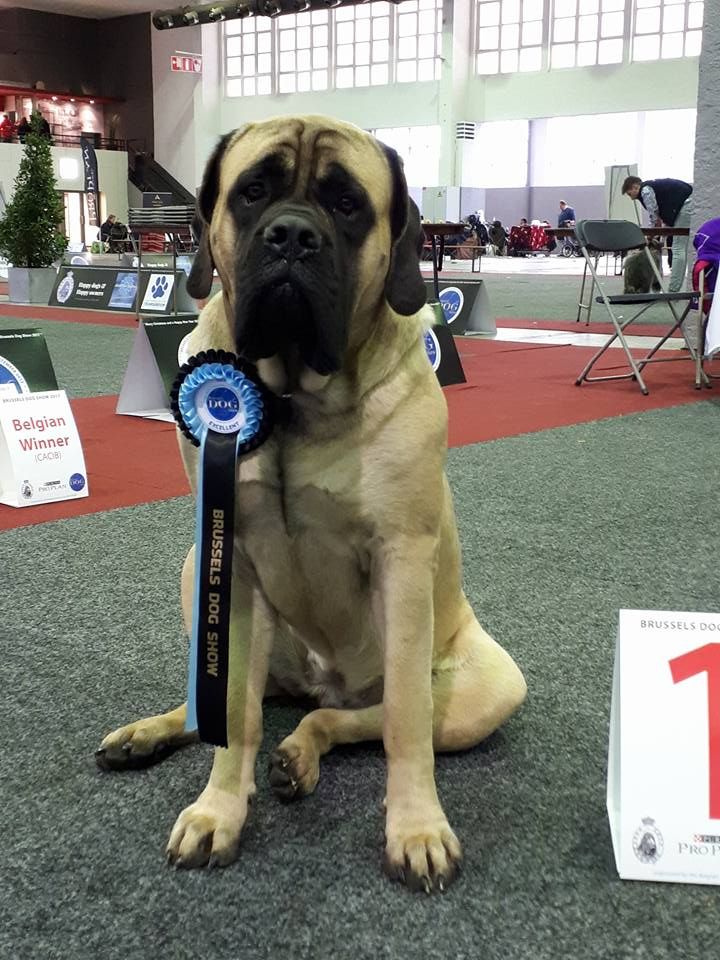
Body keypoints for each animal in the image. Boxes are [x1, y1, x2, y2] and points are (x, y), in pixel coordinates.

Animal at [95, 118, 524, 892]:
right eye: (253, 191)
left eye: (348, 204)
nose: (292, 235)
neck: (295, 396)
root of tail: (323, 689)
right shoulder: (229, 558)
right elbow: (233, 712)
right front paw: (218, 811)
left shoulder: (402, 560)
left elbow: (405, 721)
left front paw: (417, 828)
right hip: (195, 569)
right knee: (223, 705)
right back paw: (153, 734)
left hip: (492, 685)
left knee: (368, 719)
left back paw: (303, 750)